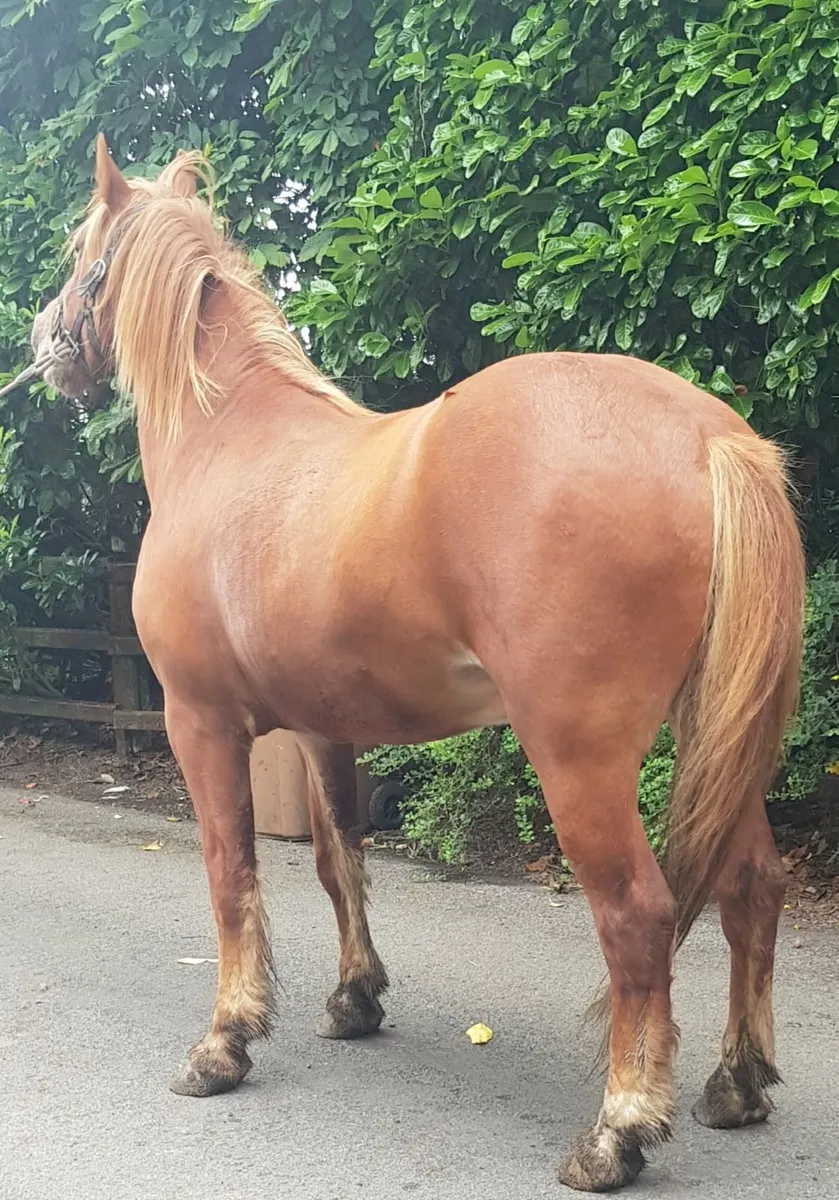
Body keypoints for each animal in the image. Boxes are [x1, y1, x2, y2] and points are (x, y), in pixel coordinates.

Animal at [28, 136, 804, 1193]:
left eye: (81, 254)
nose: (43, 338)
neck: (228, 439)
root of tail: (708, 435)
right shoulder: (322, 727)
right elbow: (336, 862)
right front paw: (354, 1000)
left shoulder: (200, 723)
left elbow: (231, 872)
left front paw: (225, 1042)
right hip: (714, 733)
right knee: (751, 888)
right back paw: (736, 1083)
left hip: (581, 757)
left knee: (638, 916)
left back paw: (616, 1133)